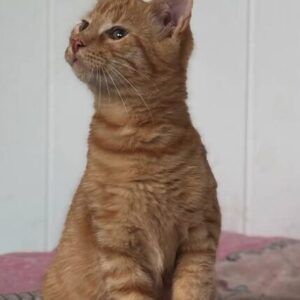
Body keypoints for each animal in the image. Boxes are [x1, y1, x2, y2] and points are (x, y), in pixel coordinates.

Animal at [42, 0, 220, 298]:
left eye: (117, 33)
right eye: (84, 24)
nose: (76, 41)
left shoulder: (200, 239)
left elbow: (192, 289)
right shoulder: (119, 249)